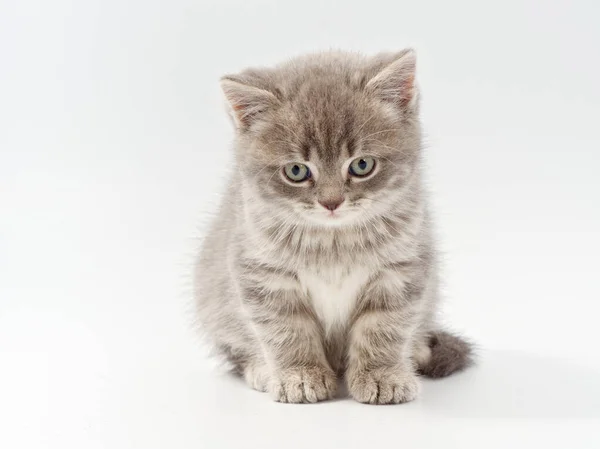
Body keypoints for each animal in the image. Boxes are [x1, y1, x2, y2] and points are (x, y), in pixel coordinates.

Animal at [197, 49, 474, 402]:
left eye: (362, 165)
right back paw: (261, 369)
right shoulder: (262, 274)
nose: (331, 202)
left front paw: (383, 375)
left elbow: (384, 327)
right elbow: (285, 330)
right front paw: (299, 376)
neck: (334, 241)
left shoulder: (400, 270)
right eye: (297, 171)